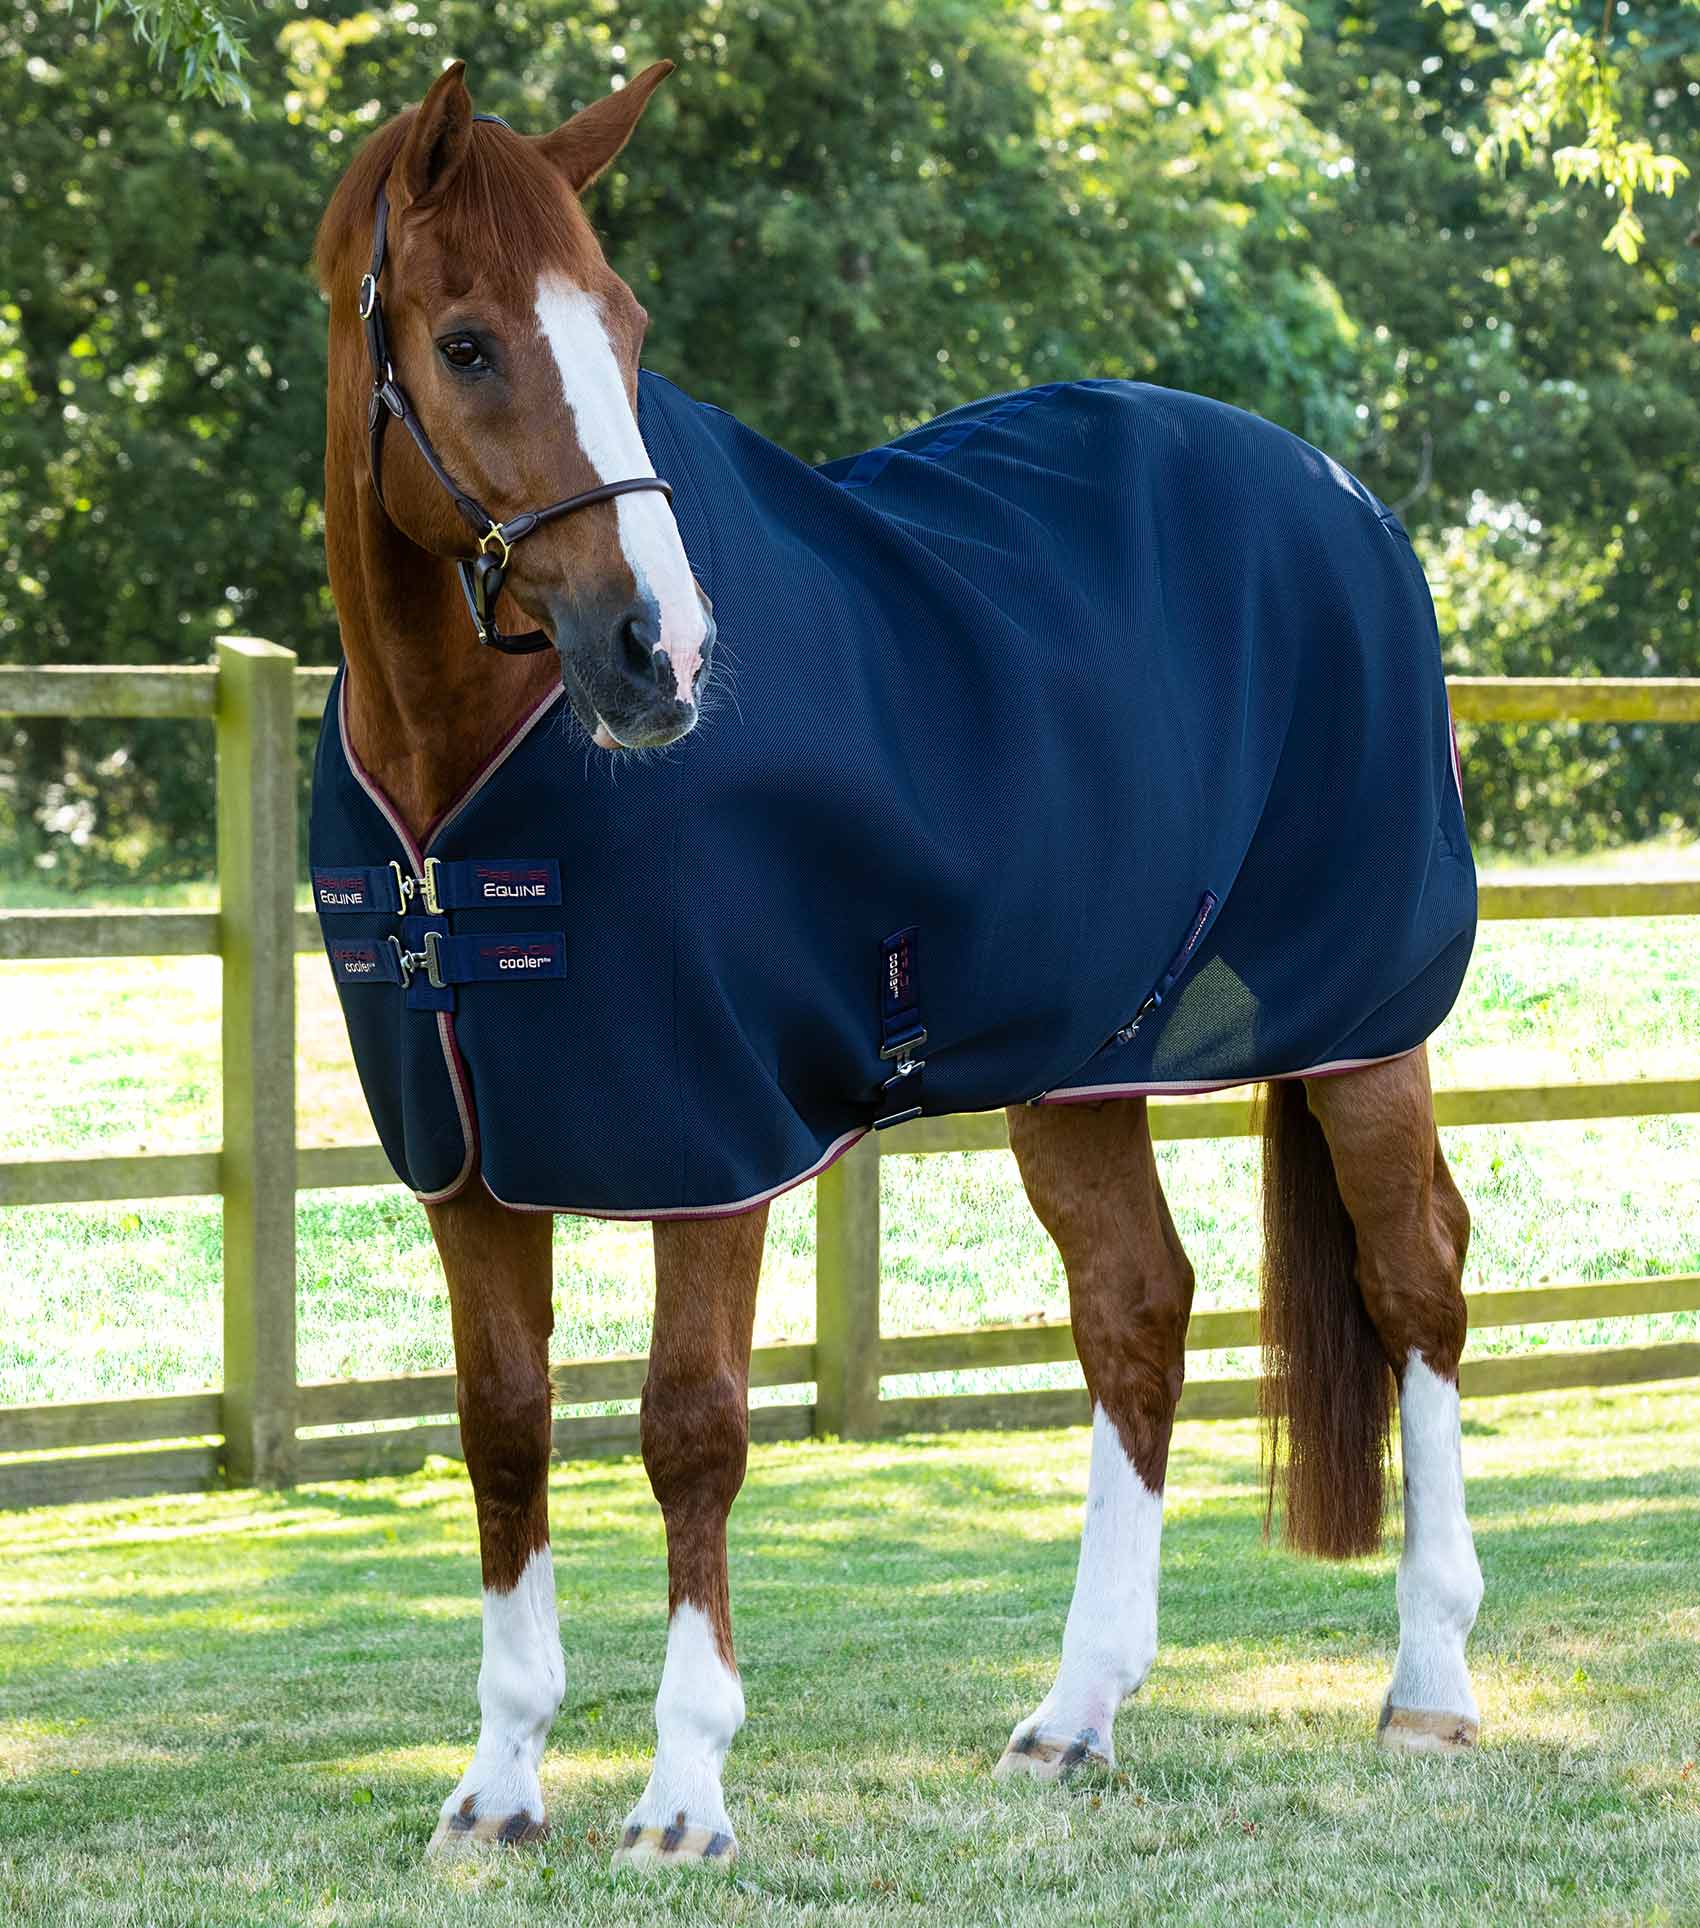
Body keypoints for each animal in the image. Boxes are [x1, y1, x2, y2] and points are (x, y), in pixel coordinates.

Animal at [311, 59, 1483, 1870]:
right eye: (469, 344)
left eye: (626, 326)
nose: (661, 653)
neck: (459, 779)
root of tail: (1343, 500)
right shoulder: (467, 1165)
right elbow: (503, 1430)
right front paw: (498, 1788)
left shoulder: (710, 1141)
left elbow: (690, 1430)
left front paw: (683, 1792)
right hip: (1085, 1064)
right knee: (1135, 1308)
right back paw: (1075, 1716)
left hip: (1367, 1025)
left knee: (1418, 1275)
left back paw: (1428, 1684)